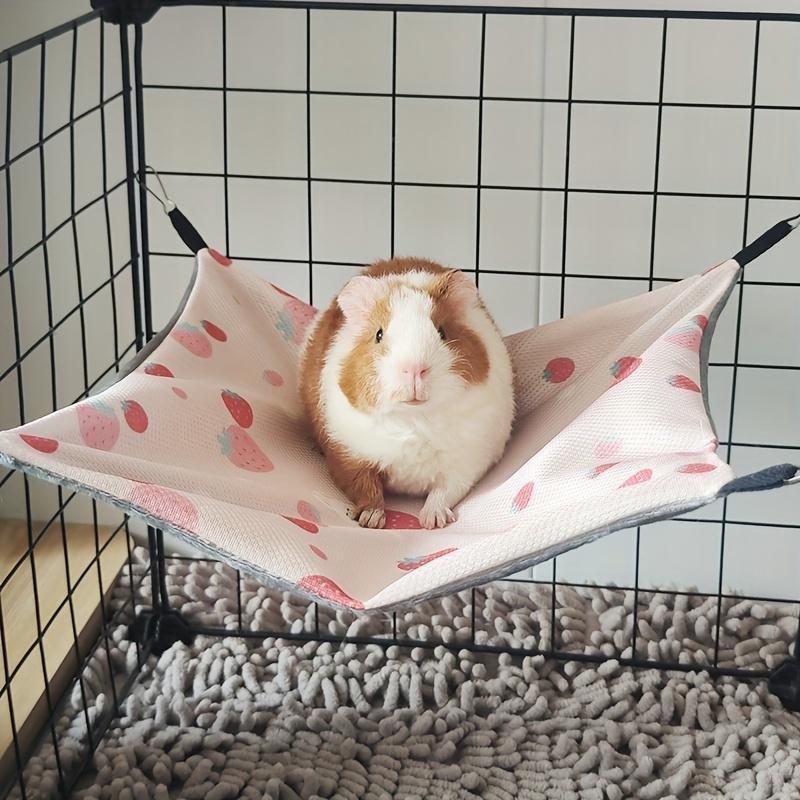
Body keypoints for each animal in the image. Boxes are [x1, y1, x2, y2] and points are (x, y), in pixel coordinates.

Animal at [299, 258, 514, 529]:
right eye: (378, 334)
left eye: (442, 332)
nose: (414, 369)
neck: (414, 419)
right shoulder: (348, 455)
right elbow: (365, 488)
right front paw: (371, 521)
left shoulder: (467, 463)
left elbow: (444, 491)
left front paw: (433, 521)